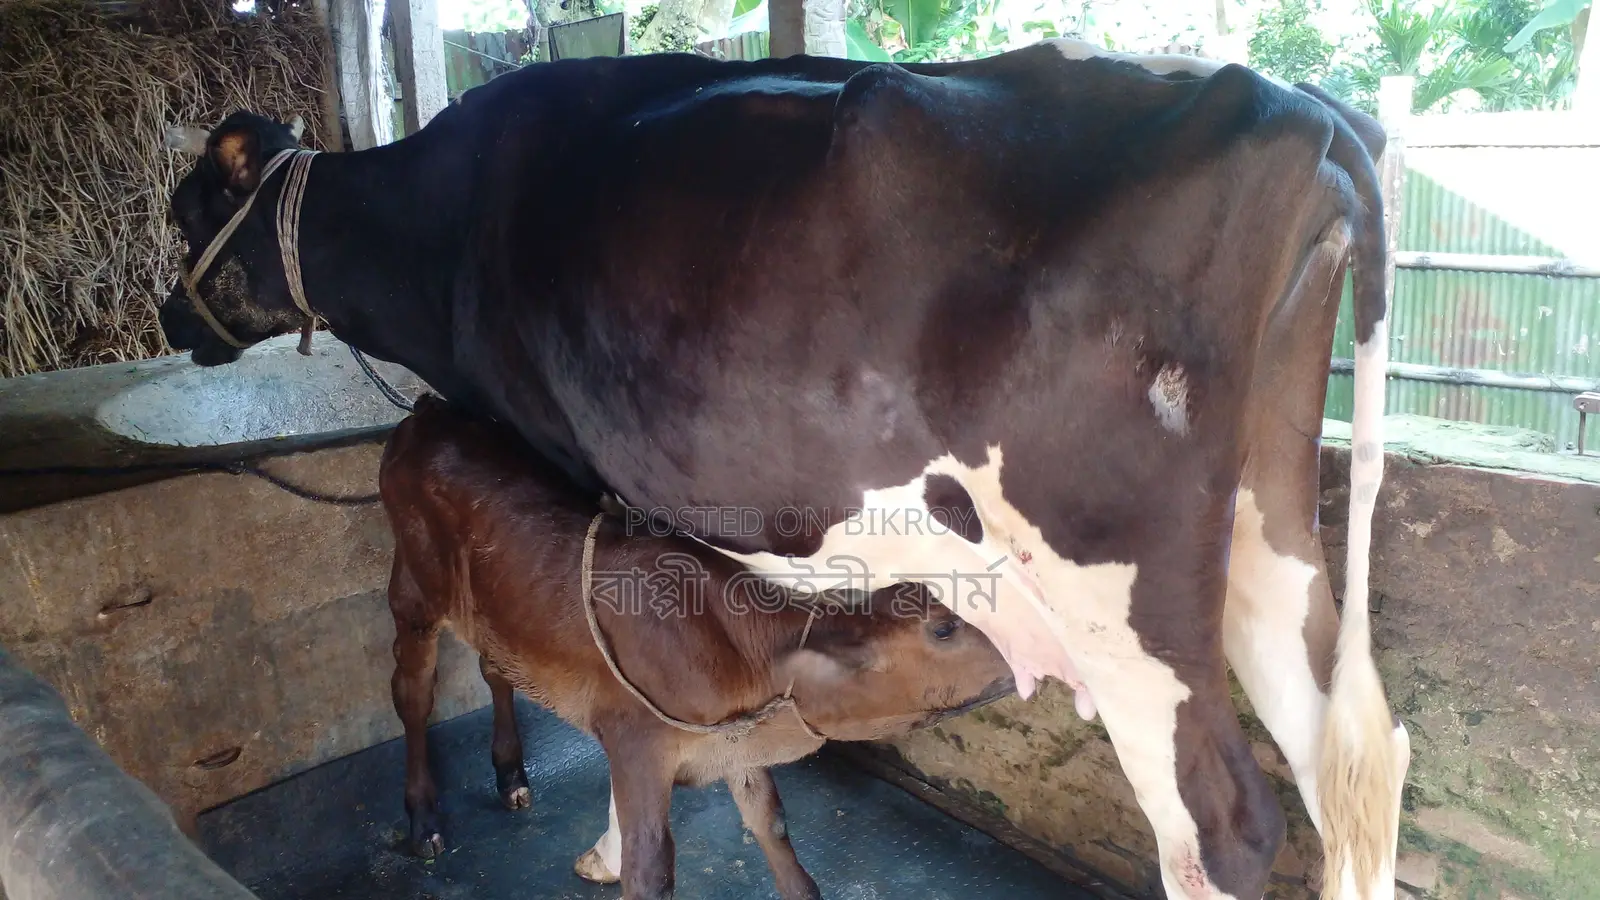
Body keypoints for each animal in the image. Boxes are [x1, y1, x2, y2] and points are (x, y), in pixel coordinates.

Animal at [377, 392, 1014, 899]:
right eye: (942, 626)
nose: (1025, 658)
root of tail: (429, 412)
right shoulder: (637, 741)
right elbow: (651, 869)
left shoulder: (735, 741)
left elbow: (771, 824)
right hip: (414, 592)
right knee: (412, 695)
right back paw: (423, 818)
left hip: (495, 609)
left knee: (495, 669)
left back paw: (511, 774)